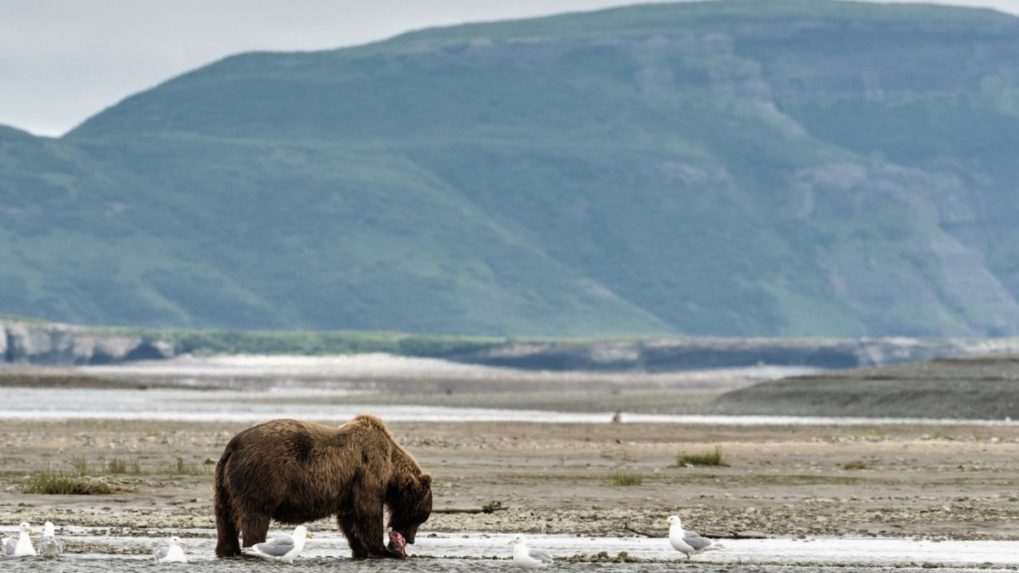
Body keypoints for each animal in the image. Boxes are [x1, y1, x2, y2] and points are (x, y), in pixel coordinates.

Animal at [217, 411, 432, 554]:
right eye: (420, 516)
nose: (411, 540)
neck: (392, 470)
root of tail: (231, 447)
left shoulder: (349, 487)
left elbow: (350, 519)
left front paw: (360, 549)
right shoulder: (369, 471)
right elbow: (368, 512)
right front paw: (382, 550)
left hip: (223, 484)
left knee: (225, 518)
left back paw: (227, 550)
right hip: (260, 477)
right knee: (255, 516)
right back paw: (253, 547)